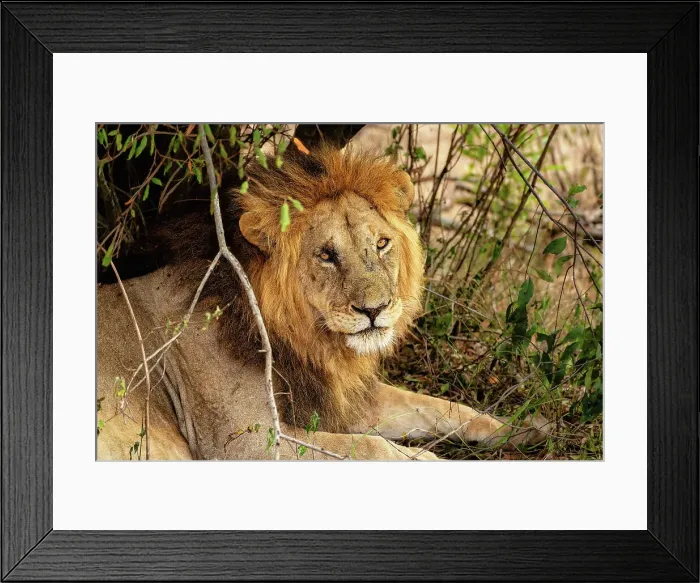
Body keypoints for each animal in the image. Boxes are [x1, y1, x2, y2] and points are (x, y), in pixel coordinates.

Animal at [97, 146, 549, 460]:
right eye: (326, 255)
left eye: (381, 243)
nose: (374, 310)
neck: (305, 340)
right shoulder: (246, 440)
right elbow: (372, 448)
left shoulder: (337, 398)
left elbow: (438, 406)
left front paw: (522, 428)